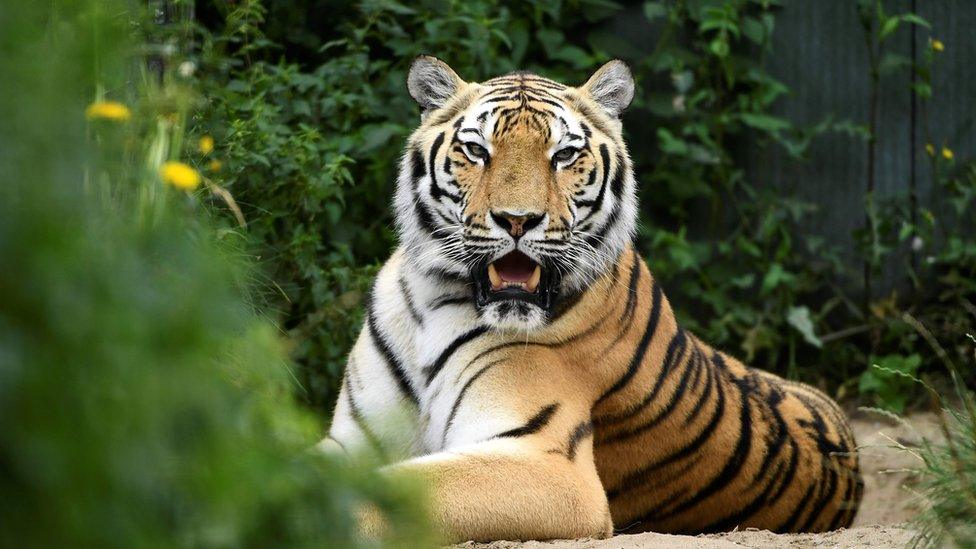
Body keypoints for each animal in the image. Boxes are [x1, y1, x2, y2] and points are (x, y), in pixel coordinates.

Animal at [322, 56, 860, 544]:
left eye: (563, 155)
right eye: (476, 150)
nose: (517, 220)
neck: (435, 299)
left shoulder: (548, 464)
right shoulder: (352, 439)